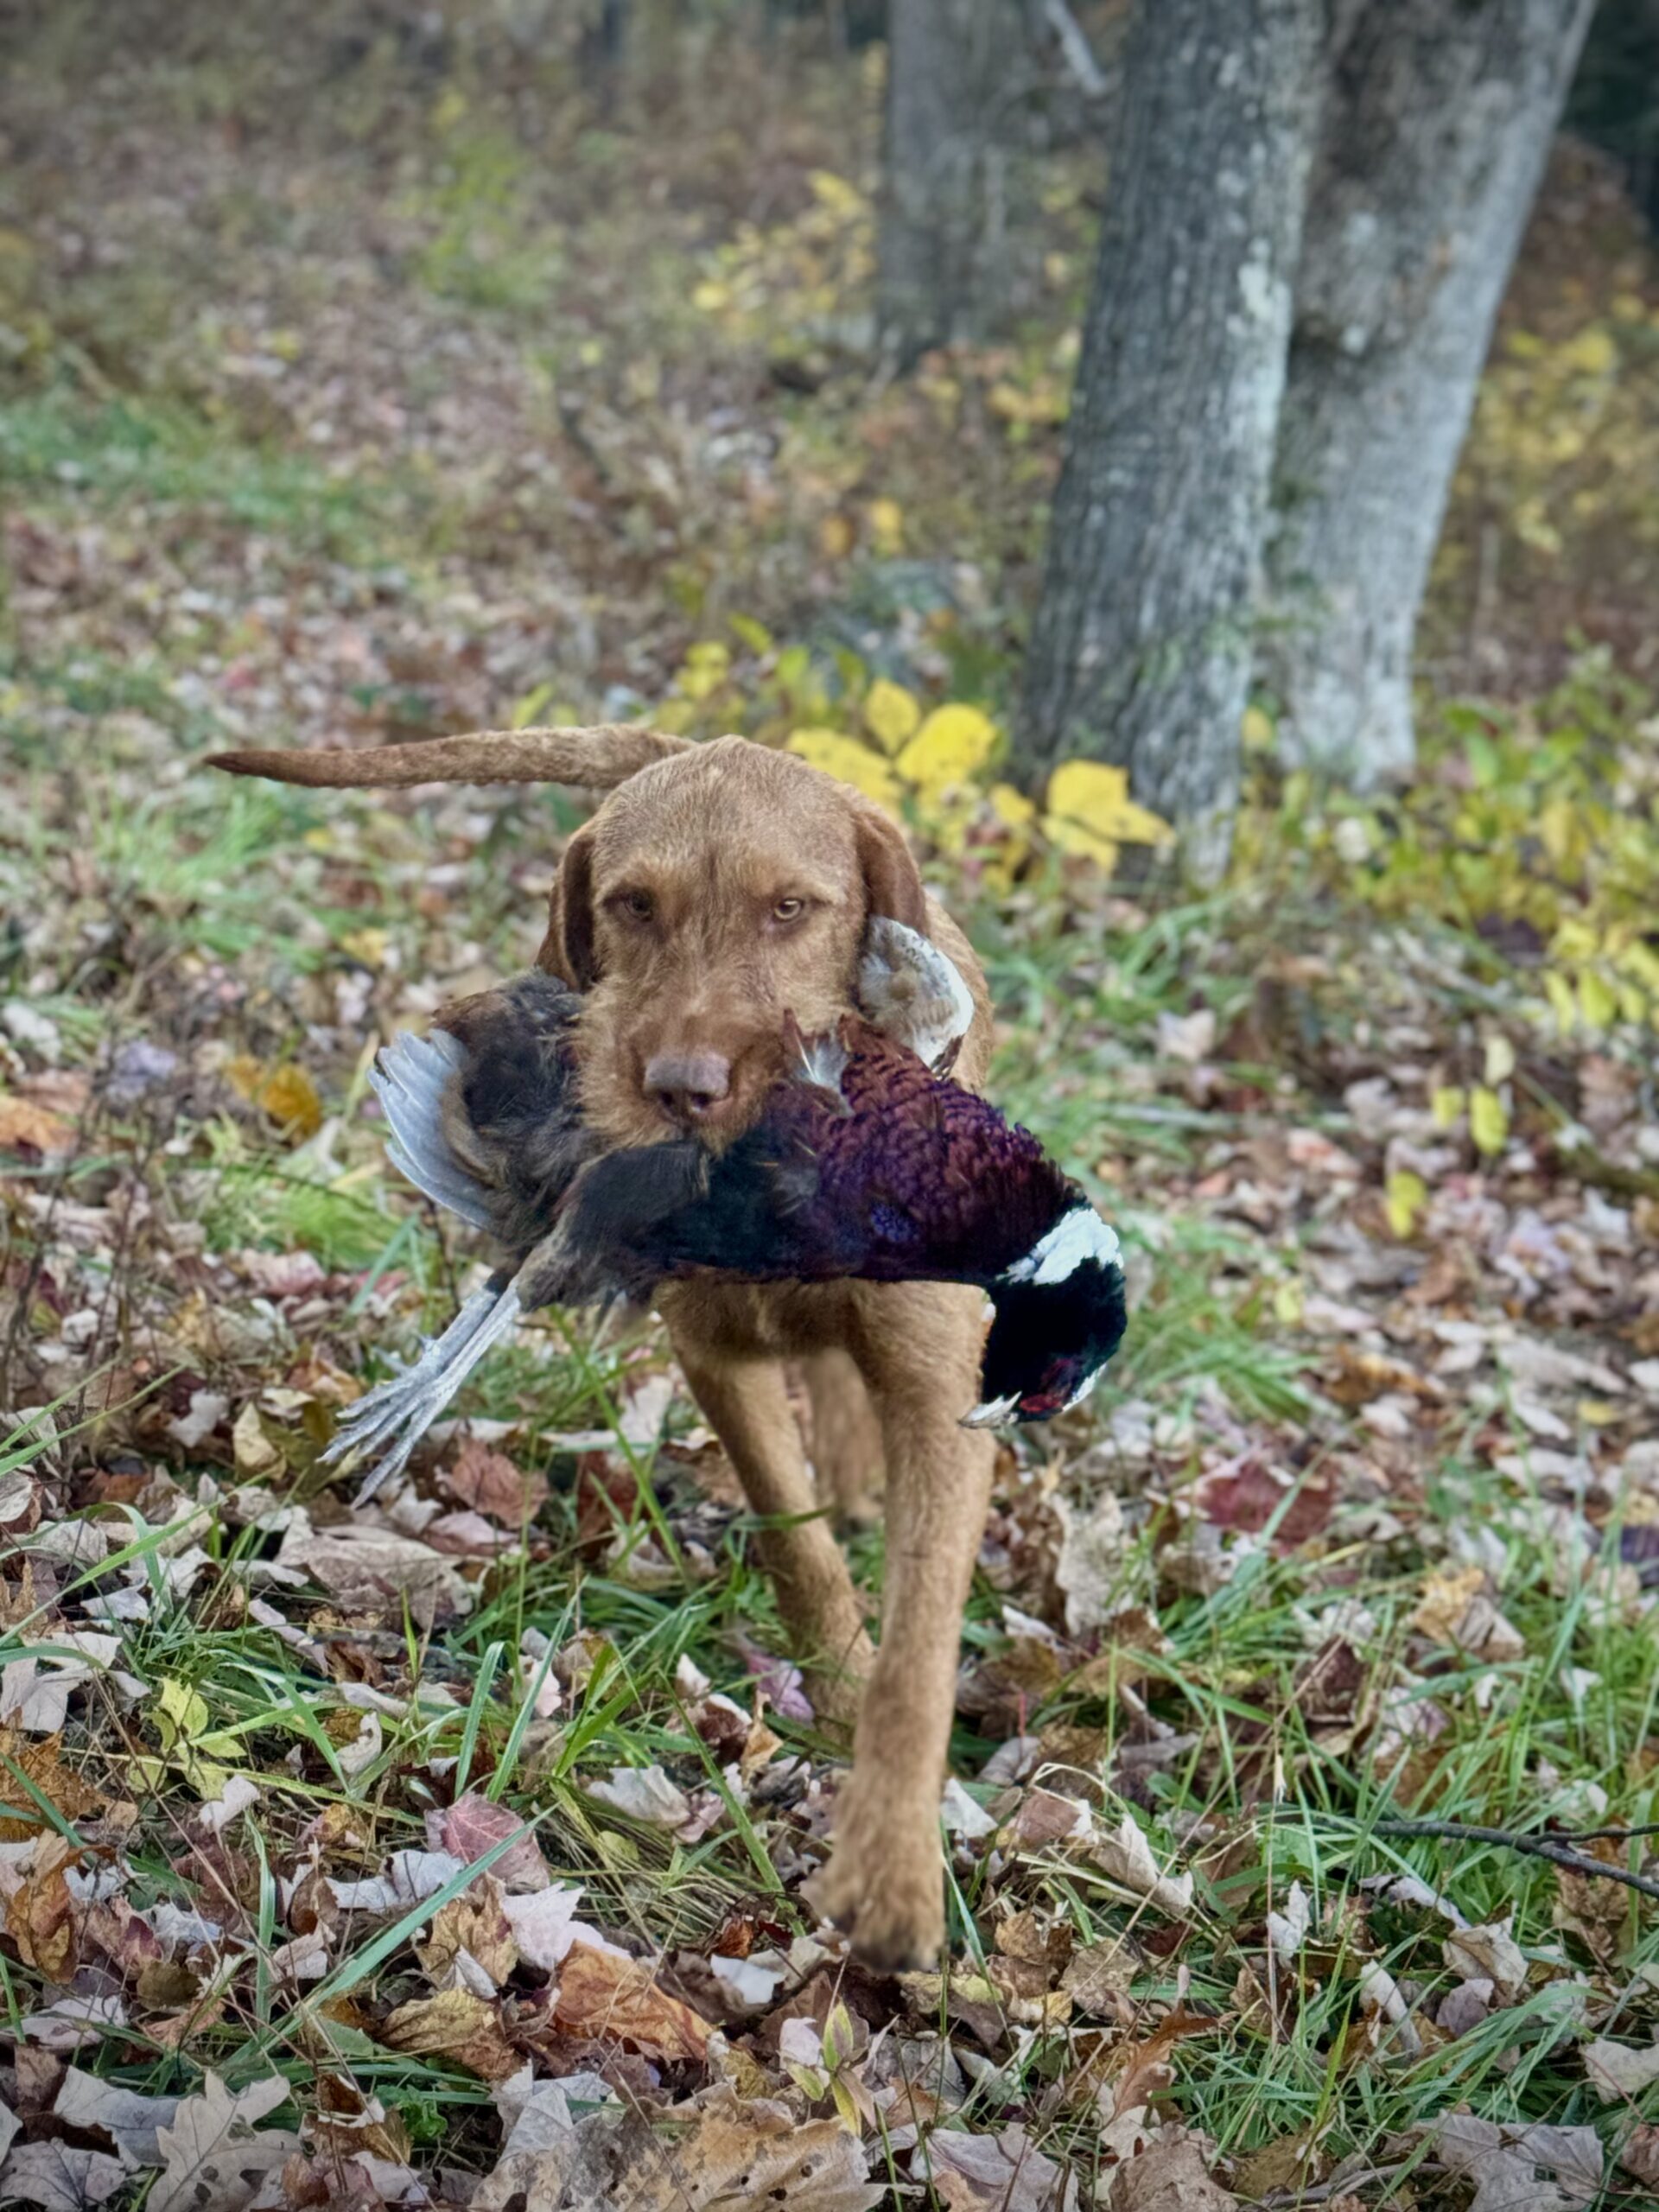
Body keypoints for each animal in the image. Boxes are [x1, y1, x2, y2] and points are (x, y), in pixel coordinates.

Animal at [210, 723, 998, 1969]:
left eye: (791, 907)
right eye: (632, 903)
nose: (680, 1091)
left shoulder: (942, 1397)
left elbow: (919, 1647)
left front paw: (891, 1863)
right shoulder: (710, 1346)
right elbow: (797, 1544)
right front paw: (836, 1688)